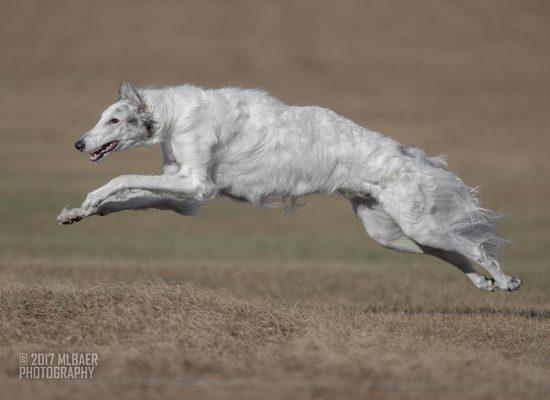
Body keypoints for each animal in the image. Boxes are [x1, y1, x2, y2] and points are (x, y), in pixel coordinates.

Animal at [58, 83, 524, 292]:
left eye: (114, 119)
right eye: (102, 116)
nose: (79, 143)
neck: (173, 115)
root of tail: (407, 153)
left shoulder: (195, 185)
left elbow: (119, 179)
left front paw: (89, 199)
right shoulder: (180, 191)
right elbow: (127, 198)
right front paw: (78, 212)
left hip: (418, 224)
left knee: (476, 246)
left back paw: (505, 280)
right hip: (392, 234)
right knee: (453, 253)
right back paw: (484, 283)